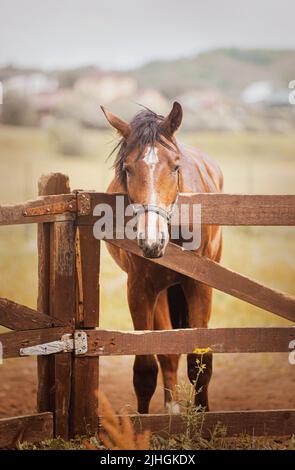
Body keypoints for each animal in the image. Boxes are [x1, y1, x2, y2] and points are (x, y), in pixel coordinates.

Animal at [100, 102, 223, 412]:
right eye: (127, 169)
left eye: (175, 167)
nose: (152, 240)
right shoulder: (140, 290)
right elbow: (145, 369)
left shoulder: (199, 286)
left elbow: (200, 361)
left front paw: (203, 414)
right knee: (166, 354)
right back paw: (171, 408)